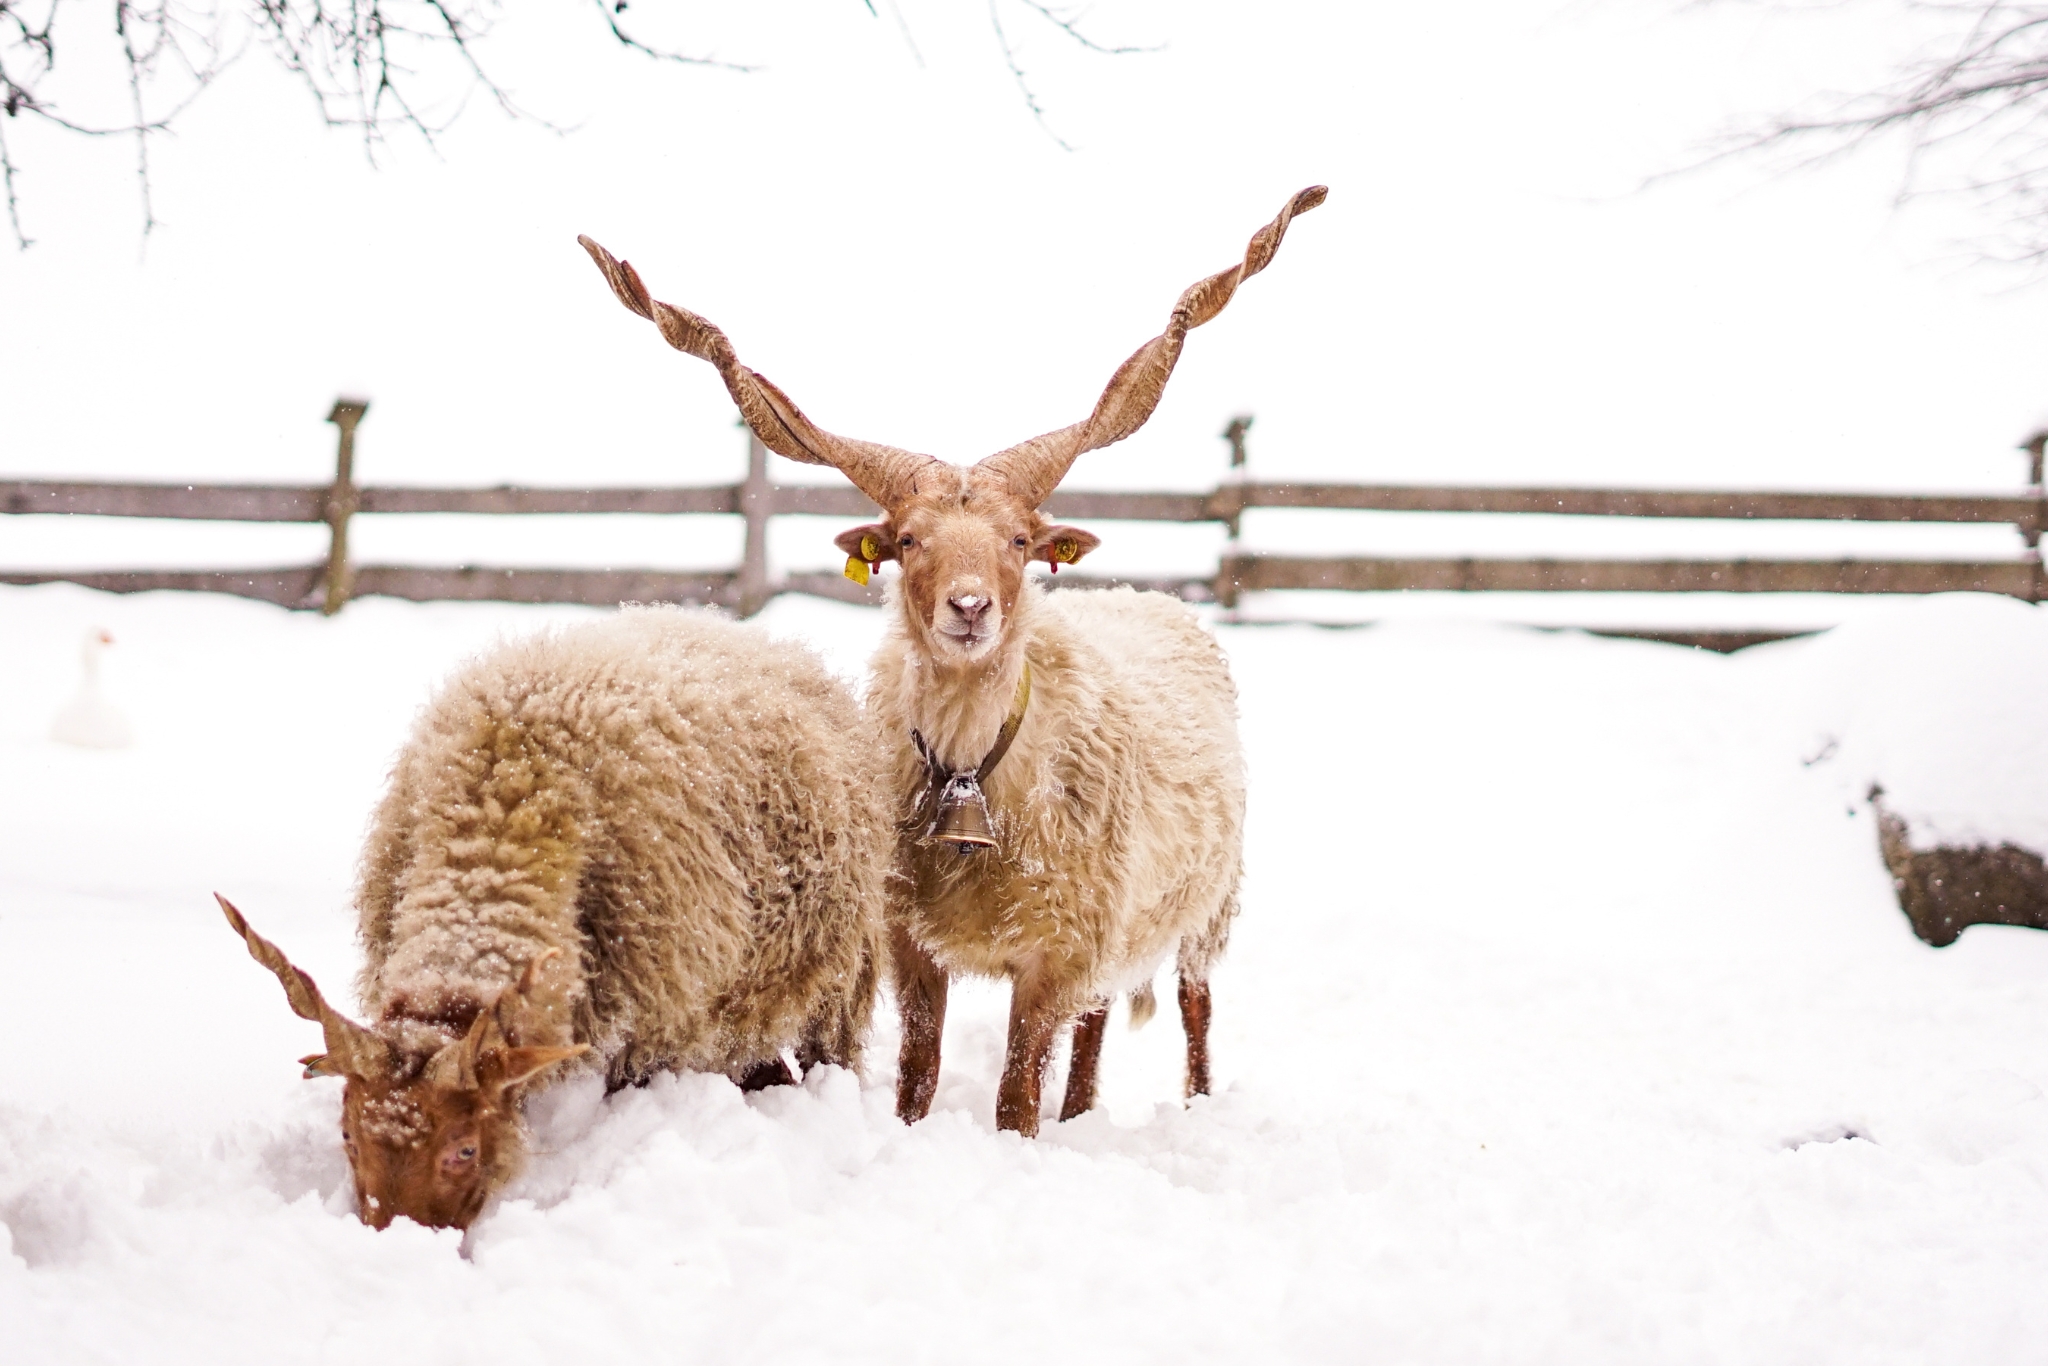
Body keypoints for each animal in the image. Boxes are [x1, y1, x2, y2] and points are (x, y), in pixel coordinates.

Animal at [580, 187, 1322, 1134]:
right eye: (906, 540)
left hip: (1208, 902)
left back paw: (1192, 1106)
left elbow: (1014, 1089)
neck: (975, 772)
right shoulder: (915, 940)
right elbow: (920, 1070)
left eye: (1019, 539)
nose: (969, 609)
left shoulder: (1054, 946)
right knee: (1096, 1025)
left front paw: (1017, 1143)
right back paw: (1080, 1116)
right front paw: (916, 1129)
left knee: (1194, 1006)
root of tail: (1138, 596)